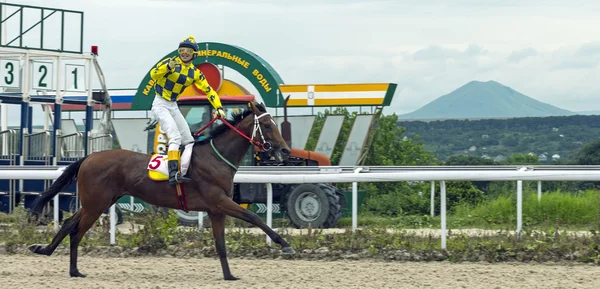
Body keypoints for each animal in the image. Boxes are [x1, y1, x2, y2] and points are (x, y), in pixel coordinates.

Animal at [28, 100, 296, 280]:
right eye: (267, 125)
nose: (285, 151)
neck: (216, 158)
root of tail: (89, 156)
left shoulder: (215, 210)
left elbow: (221, 244)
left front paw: (229, 275)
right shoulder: (220, 202)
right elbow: (253, 217)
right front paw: (285, 244)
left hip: (98, 202)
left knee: (68, 224)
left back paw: (51, 254)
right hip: (96, 203)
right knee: (76, 231)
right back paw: (71, 268)